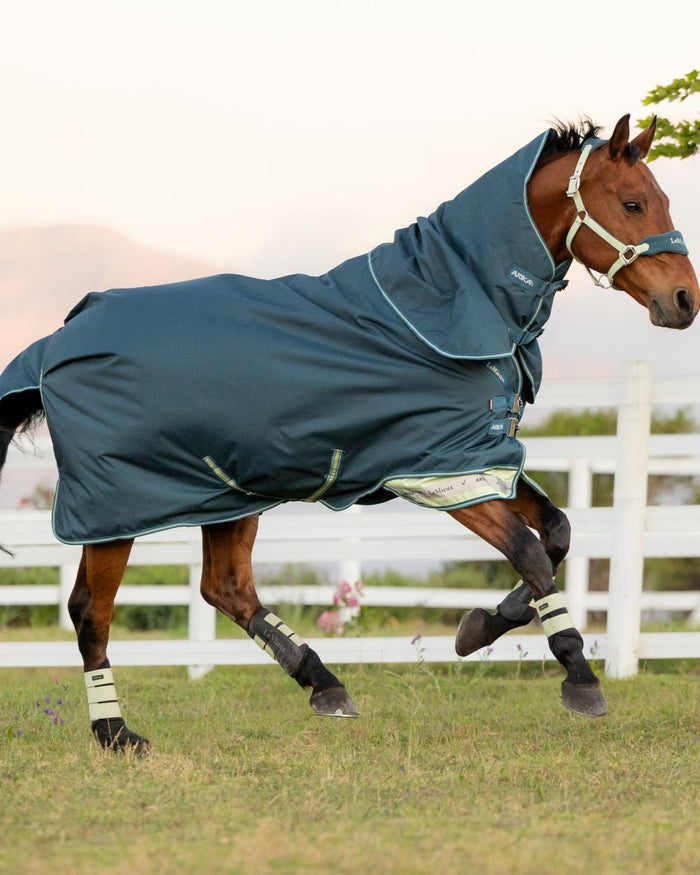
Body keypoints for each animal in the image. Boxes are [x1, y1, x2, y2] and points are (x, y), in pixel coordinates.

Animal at [0, 114, 697, 754]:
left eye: (661, 199)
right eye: (633, 202)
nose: (685, 300)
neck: (454, 302)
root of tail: (57, 341)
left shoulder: (481, 458)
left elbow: (557, 535)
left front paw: (480, 627)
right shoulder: (439, 470)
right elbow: (529, 551)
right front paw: (579, 675)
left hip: (229, 493)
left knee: (226, 589)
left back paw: (325, 685)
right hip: (116, 510)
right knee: (92, 612)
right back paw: (116, 733)